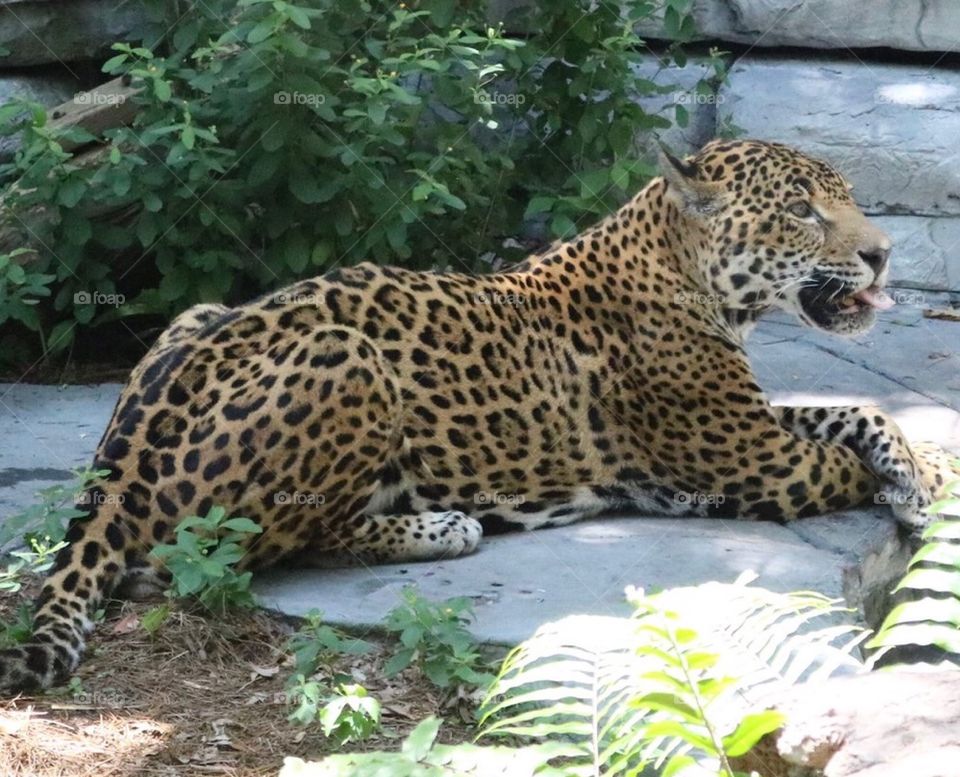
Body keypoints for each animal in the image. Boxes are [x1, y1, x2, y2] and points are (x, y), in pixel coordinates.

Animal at [2, 138, 958, 692]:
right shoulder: (753, 460)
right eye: (802, 209)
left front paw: (917, 467)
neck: (691, 274)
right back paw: (444, 525)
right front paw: (930, 479)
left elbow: (853, 411)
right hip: (350, 360)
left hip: (198, 313)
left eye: (842, 198)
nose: (882, 254)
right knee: (231, 553)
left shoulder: (755, 426)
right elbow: (845, 434)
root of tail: (117, 469)